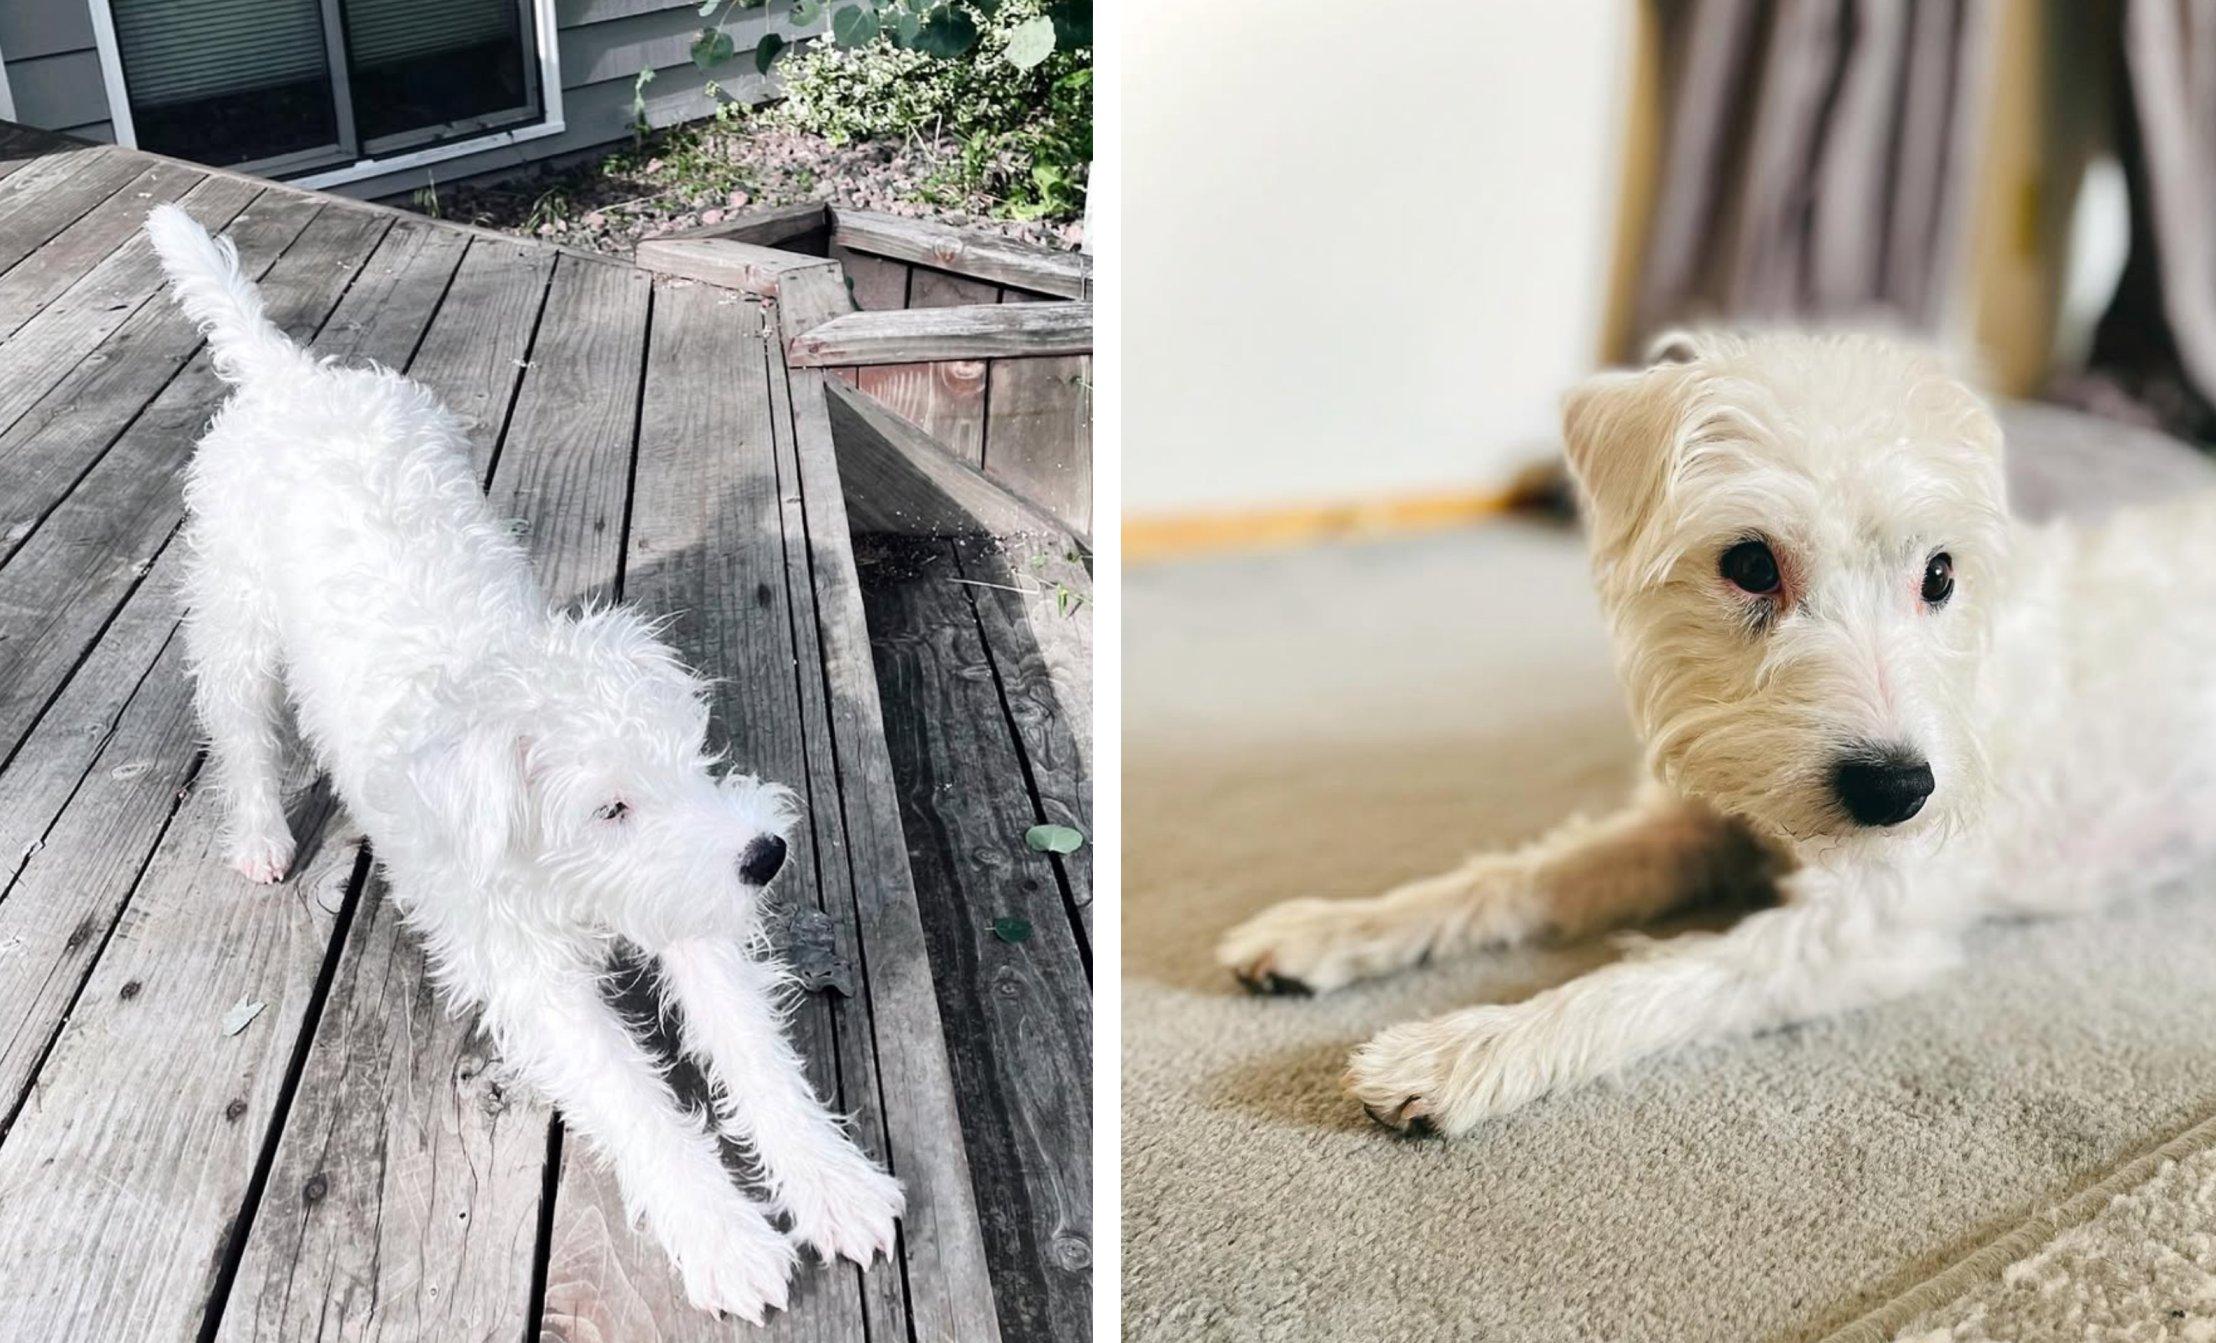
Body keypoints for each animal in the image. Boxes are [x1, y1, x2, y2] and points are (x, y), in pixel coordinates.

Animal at [145, 204, 899, 1320]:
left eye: (692, 753)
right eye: (610, 808)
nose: (763, 855)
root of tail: (288, 373)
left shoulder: (688, 905)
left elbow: (754, 1049)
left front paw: (833, 1183)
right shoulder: (530, 974)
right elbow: (630, 1092)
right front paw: (722, 1234)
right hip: (235, 621)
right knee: (238, 729)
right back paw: (260, 836)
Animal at [1214, 332, 2216, 1143]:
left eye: (1940, 573)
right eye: (1749, 563)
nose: (1899, 791)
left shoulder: (1860, 929)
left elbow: (1661, 976)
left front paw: (1462, 1050)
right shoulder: (1688, 824)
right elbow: (1514, 878)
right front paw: (1331, 927)